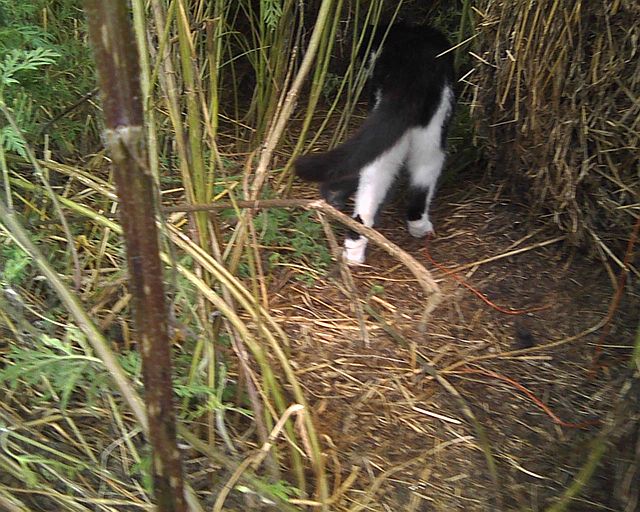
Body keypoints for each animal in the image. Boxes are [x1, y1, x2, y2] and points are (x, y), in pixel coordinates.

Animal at [296, 23, 456, 264]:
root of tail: (410, 78)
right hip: (432, 135)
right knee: (423, 176)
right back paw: (419, 225)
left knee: (371, 187)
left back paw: (353, 249)